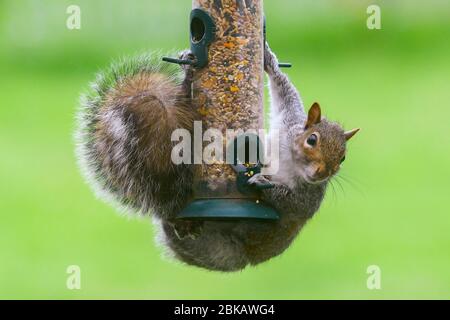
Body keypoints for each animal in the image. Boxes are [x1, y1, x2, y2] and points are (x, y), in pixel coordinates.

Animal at [75, 43, 360, 272]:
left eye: (343, 158)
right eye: (312, 139)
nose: (321, 173)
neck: (291, 160)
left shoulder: (310, 196)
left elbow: (294, 204)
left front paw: (261, 185)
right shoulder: (287, 123)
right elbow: (285, 93)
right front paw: (270, 61)